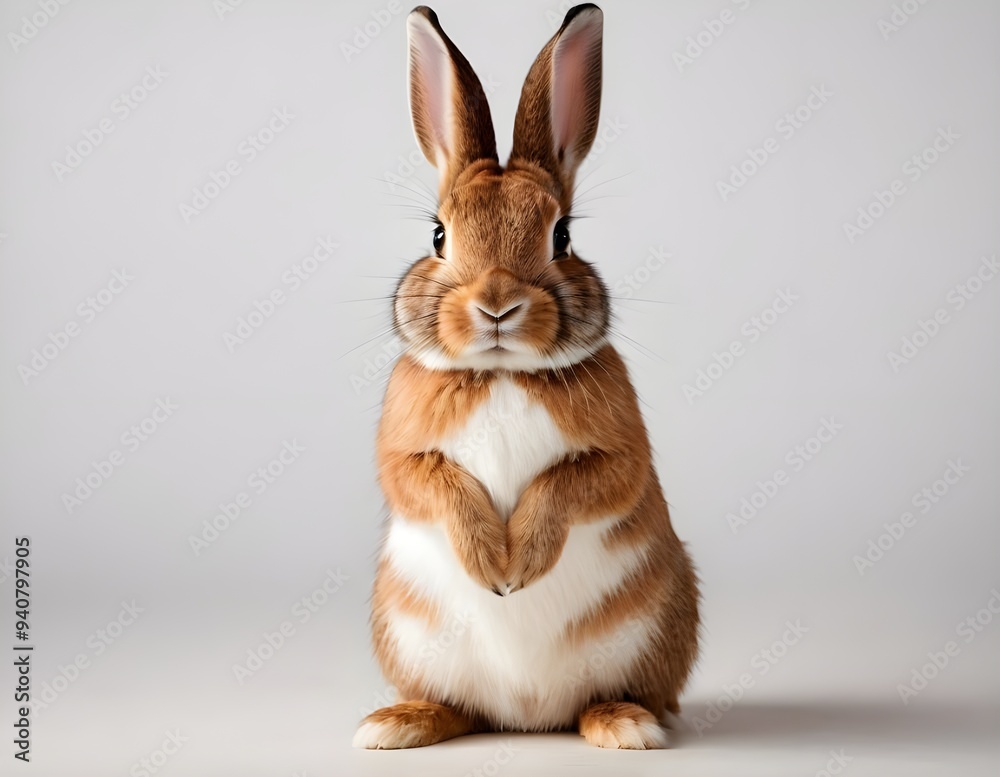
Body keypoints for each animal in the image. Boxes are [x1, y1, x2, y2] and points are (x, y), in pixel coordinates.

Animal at [353, 3, 700, 750]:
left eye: (562, 235)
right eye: (438, 236)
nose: (497, 303)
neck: (501, 373)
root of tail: (528, 714)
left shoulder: (620, 452)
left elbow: (577, 483)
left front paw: (519, 568)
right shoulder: (403, 452)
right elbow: (431, 482)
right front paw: (494, 568)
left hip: (656, 625)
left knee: (619, 698)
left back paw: (626, 725)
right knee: (459, 706)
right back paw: (396, 724)